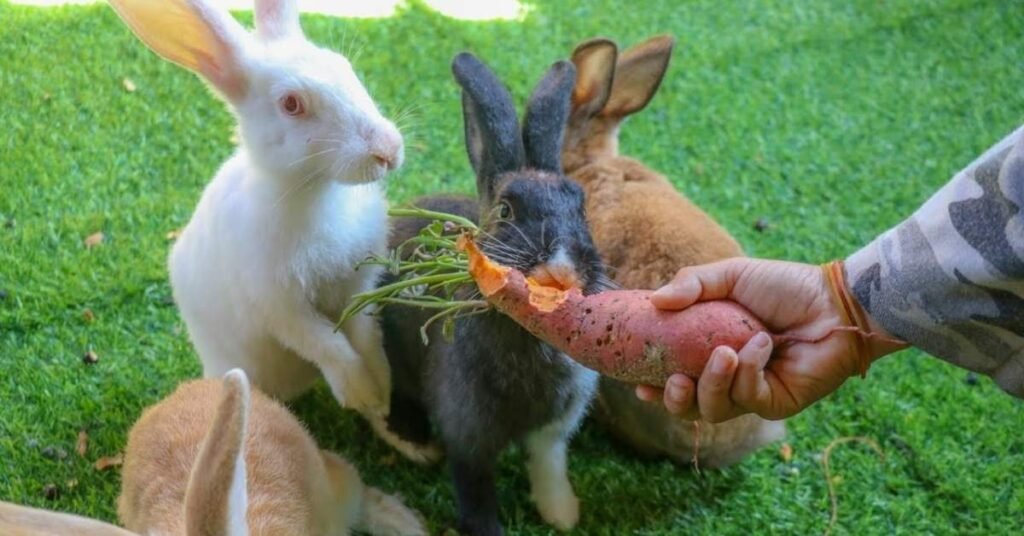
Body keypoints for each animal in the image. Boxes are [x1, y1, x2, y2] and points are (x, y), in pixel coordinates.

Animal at [107, 0, 423, 456]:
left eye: (344, 66)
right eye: (291, 104)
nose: (388, 150)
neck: (316, 194)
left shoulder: (359, 285)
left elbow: (364, 333)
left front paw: (381, 389)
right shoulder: (280, 307)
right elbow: (327, 342)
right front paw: (360, 391)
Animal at [374, 53, 608, 536]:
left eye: (582, 208)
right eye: (505, 210)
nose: (562, 270)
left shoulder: (553, 430)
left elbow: (549, 466)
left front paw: (562, 515)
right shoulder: (468, 432)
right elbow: (475, 489)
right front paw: (486, 528)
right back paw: (416, 443)